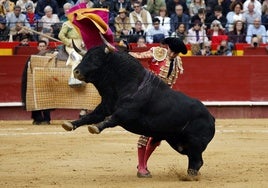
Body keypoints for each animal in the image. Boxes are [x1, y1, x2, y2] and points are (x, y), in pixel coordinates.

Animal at [62, 44, 216, 177]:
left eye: (96, 58)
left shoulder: (126, 113)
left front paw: (96, 128)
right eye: (85, 56)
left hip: (195, 142)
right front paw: (70, 124)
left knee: (197, 160)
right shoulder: (105, 106)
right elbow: (90, 116)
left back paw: (190, 175)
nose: (76, 72)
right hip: (177, 142)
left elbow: (111, 119)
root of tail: (211, 117)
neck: (130, 83)